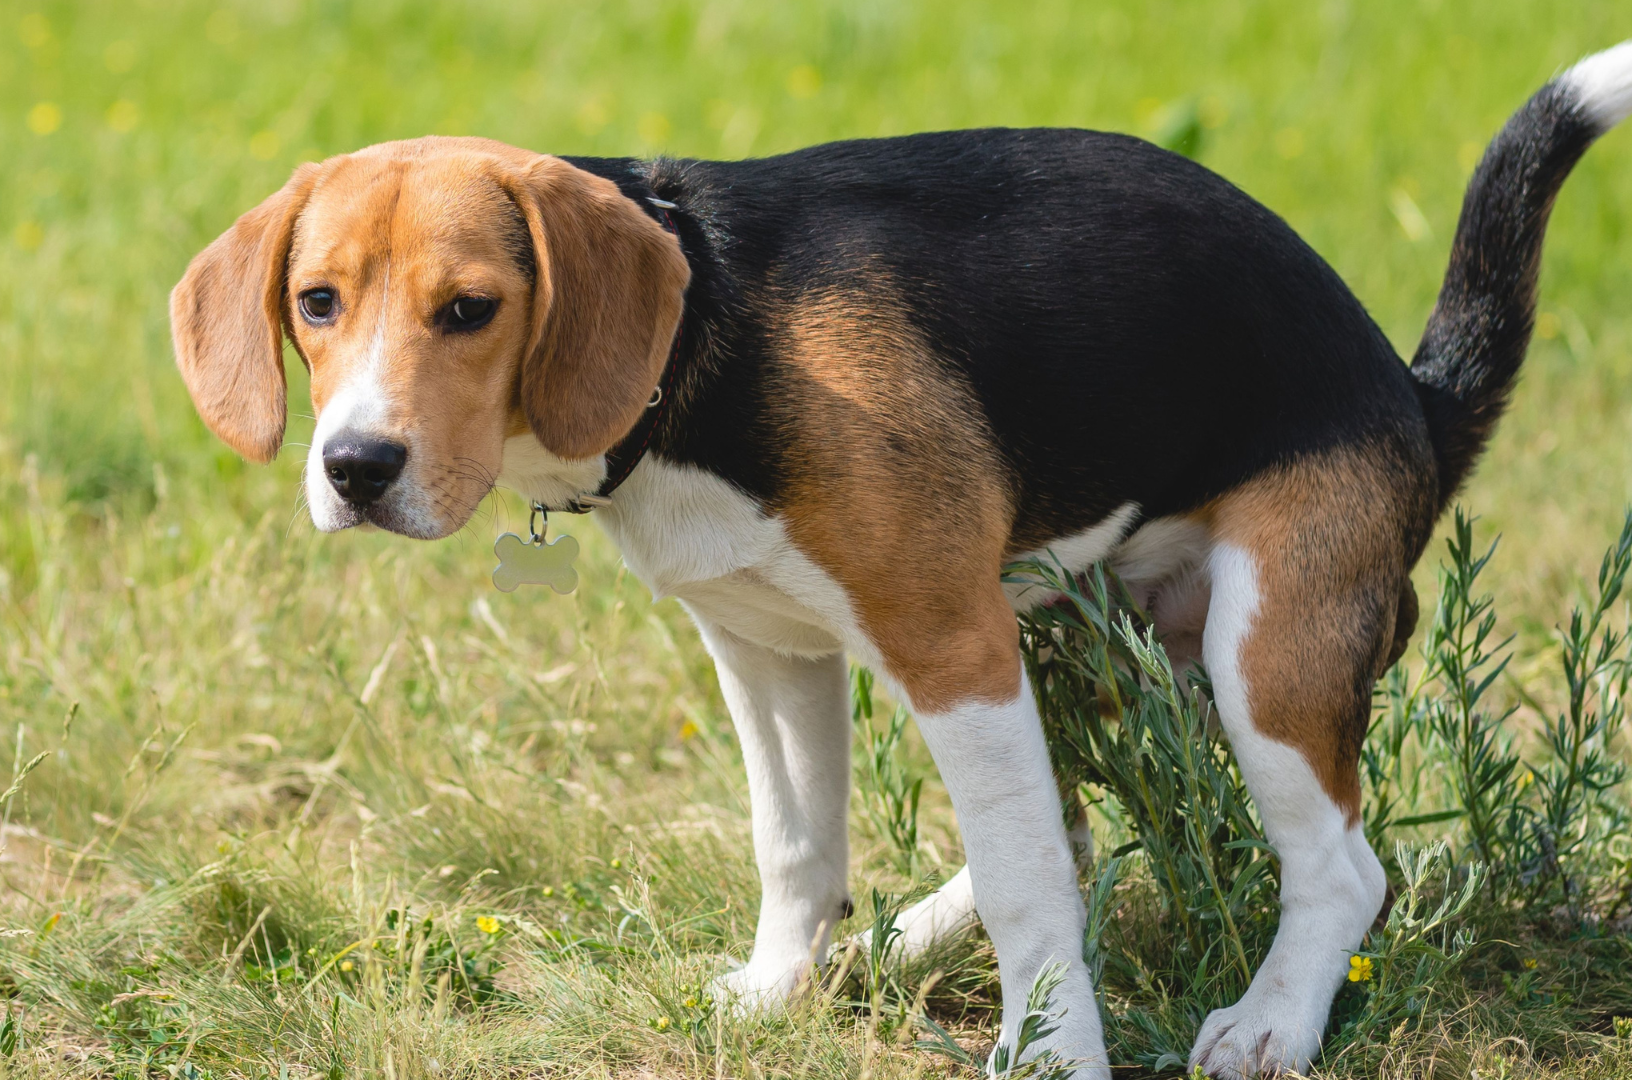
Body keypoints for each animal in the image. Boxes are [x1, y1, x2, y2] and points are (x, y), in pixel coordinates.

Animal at [168, 44, 1632, 1080]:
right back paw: (916, 933)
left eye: (470, 311)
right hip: (1084, 640)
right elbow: (798, 843)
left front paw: (1051, 1058)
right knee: (1080, 825)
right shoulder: (766, 650)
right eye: (316, 304)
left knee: (1334, 868)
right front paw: (778, 992)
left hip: (1256, 649)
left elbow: (1036, 889)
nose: (356, 468)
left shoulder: (948, 642)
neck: (709, 331)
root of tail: (1415, 396)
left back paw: (1270, 1022)